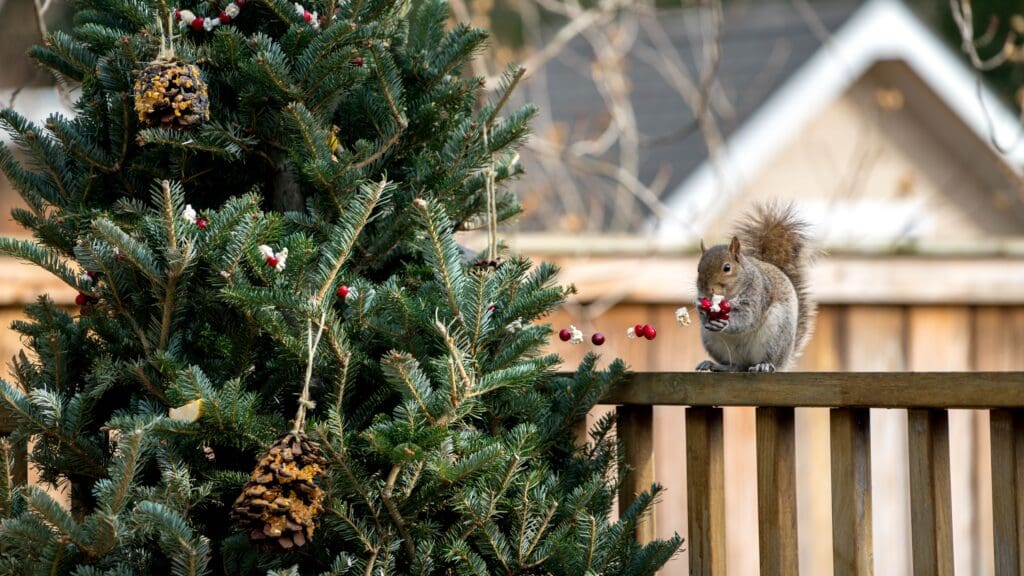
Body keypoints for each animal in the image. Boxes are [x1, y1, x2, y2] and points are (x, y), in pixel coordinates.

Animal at [696, 202, 815, 373]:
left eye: (727, 268)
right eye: (698, 269)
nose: (707, 291)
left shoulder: (758, 294)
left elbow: (748, 318)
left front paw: (726, 323)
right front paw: (702, 310)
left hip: (776, 336)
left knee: (767, 361)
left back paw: (764, 365)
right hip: (712, 341)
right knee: (736, 366)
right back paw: (717, 365)